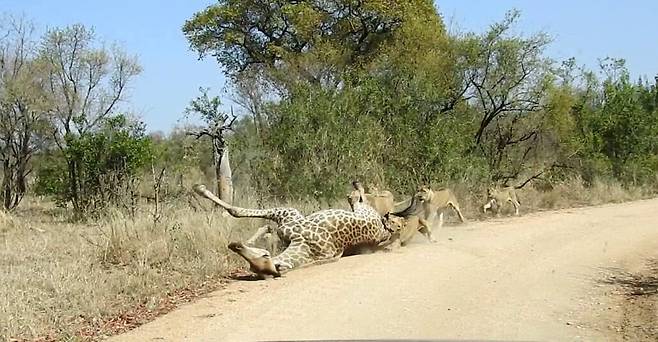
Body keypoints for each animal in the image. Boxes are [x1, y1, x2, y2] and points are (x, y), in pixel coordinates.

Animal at [192, 184, 392, 278]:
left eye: (263, 258)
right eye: (251, 268)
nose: (234, 245)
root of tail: (381, 228)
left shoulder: (288, 214)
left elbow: (235, 210)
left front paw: (200, 189)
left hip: (364, 211)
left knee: (359, 198)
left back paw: (356, 187)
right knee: (359, 199)